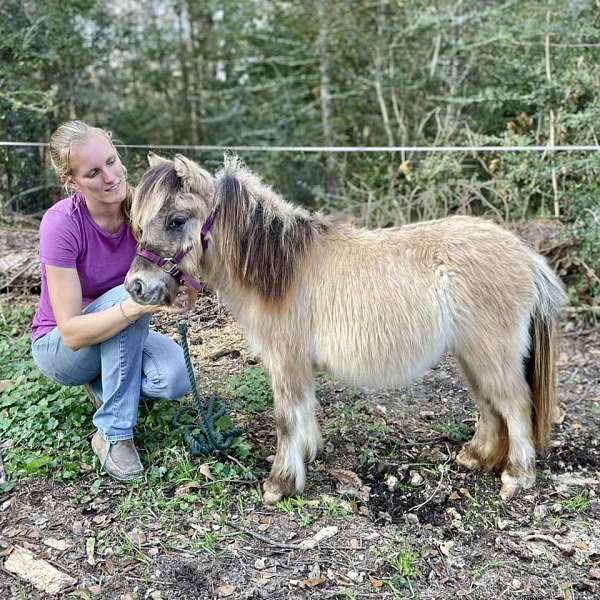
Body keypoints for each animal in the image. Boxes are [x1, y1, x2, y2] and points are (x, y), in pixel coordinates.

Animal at [124, 154, 564, 506]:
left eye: (176, 220)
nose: (137, 286)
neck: (280, 269)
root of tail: (525, 256)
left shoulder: (286, 361)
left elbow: (286, 417)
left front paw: (280, 483)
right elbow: (304, 411)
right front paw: (307, 455)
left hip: (492, 353)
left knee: (514, 404)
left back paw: (517, 476)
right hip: (471, 354)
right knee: (489, 405)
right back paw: (477, 456)